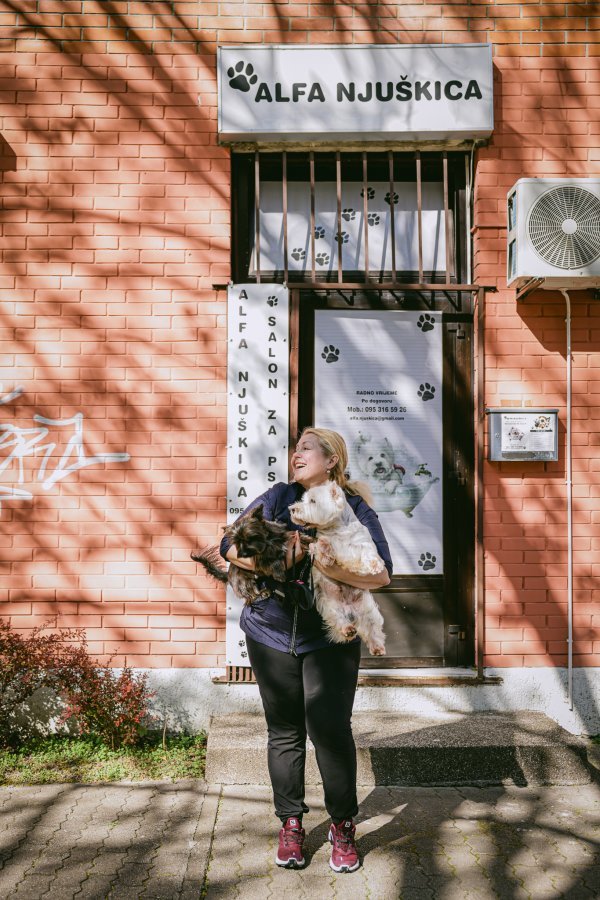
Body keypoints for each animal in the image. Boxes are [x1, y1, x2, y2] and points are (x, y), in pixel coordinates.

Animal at [290, 482, 384, 656]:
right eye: (303, 499)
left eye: (312, 501)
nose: (292, 509)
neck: (337, 529)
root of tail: (350, 610)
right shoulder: (319, 545)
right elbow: (322, 546)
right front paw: (325, 550)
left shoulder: (362, 542)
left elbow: (368, 552)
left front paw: (376, 565)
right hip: (330, 606)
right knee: (339, 621)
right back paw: (348, 630)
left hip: (368, 609)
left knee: (373, 628)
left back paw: (377, 647)